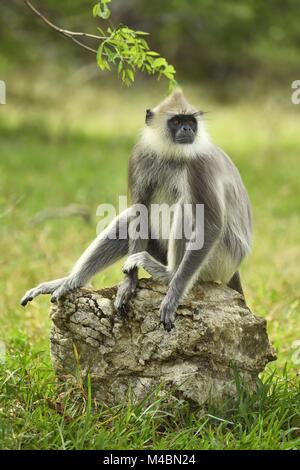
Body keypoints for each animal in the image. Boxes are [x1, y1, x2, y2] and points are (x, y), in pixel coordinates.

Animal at [19, 89, 252, 330]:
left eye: (190, 122)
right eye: (177, 121)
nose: (188, 130)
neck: (171, 155)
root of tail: (235, 267)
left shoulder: (199, 164)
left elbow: (211, 225)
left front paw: (173, 295)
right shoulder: (140, 156)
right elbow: (140, 209)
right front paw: (128, 284)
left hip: (220, 260)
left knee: (187, 207)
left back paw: (168, 275)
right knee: (130, 216)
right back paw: (71, 282)